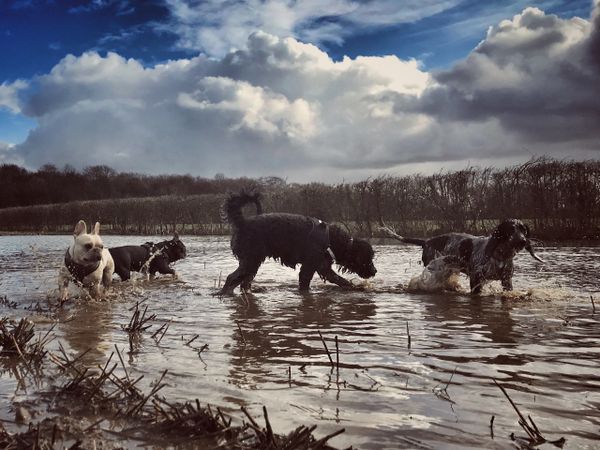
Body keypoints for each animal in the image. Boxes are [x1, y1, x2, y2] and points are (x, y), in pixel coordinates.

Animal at [218, 191, 378, 294]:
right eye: (368, 258)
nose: (375, 271)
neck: (331, 239)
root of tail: (243, 223)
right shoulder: (309, 267)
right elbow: (307, 285)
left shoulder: (323, 267)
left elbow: (341, 281)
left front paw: (356, 288)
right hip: (250, 261)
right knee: (231, 278)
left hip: (251, 263)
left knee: (243, 283)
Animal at [384, 221, 544, 296]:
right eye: (510, 230)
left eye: (523, 230)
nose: (522, 241)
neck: (500, 254)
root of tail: (427, 241)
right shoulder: (476, 278)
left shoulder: (507, 281)